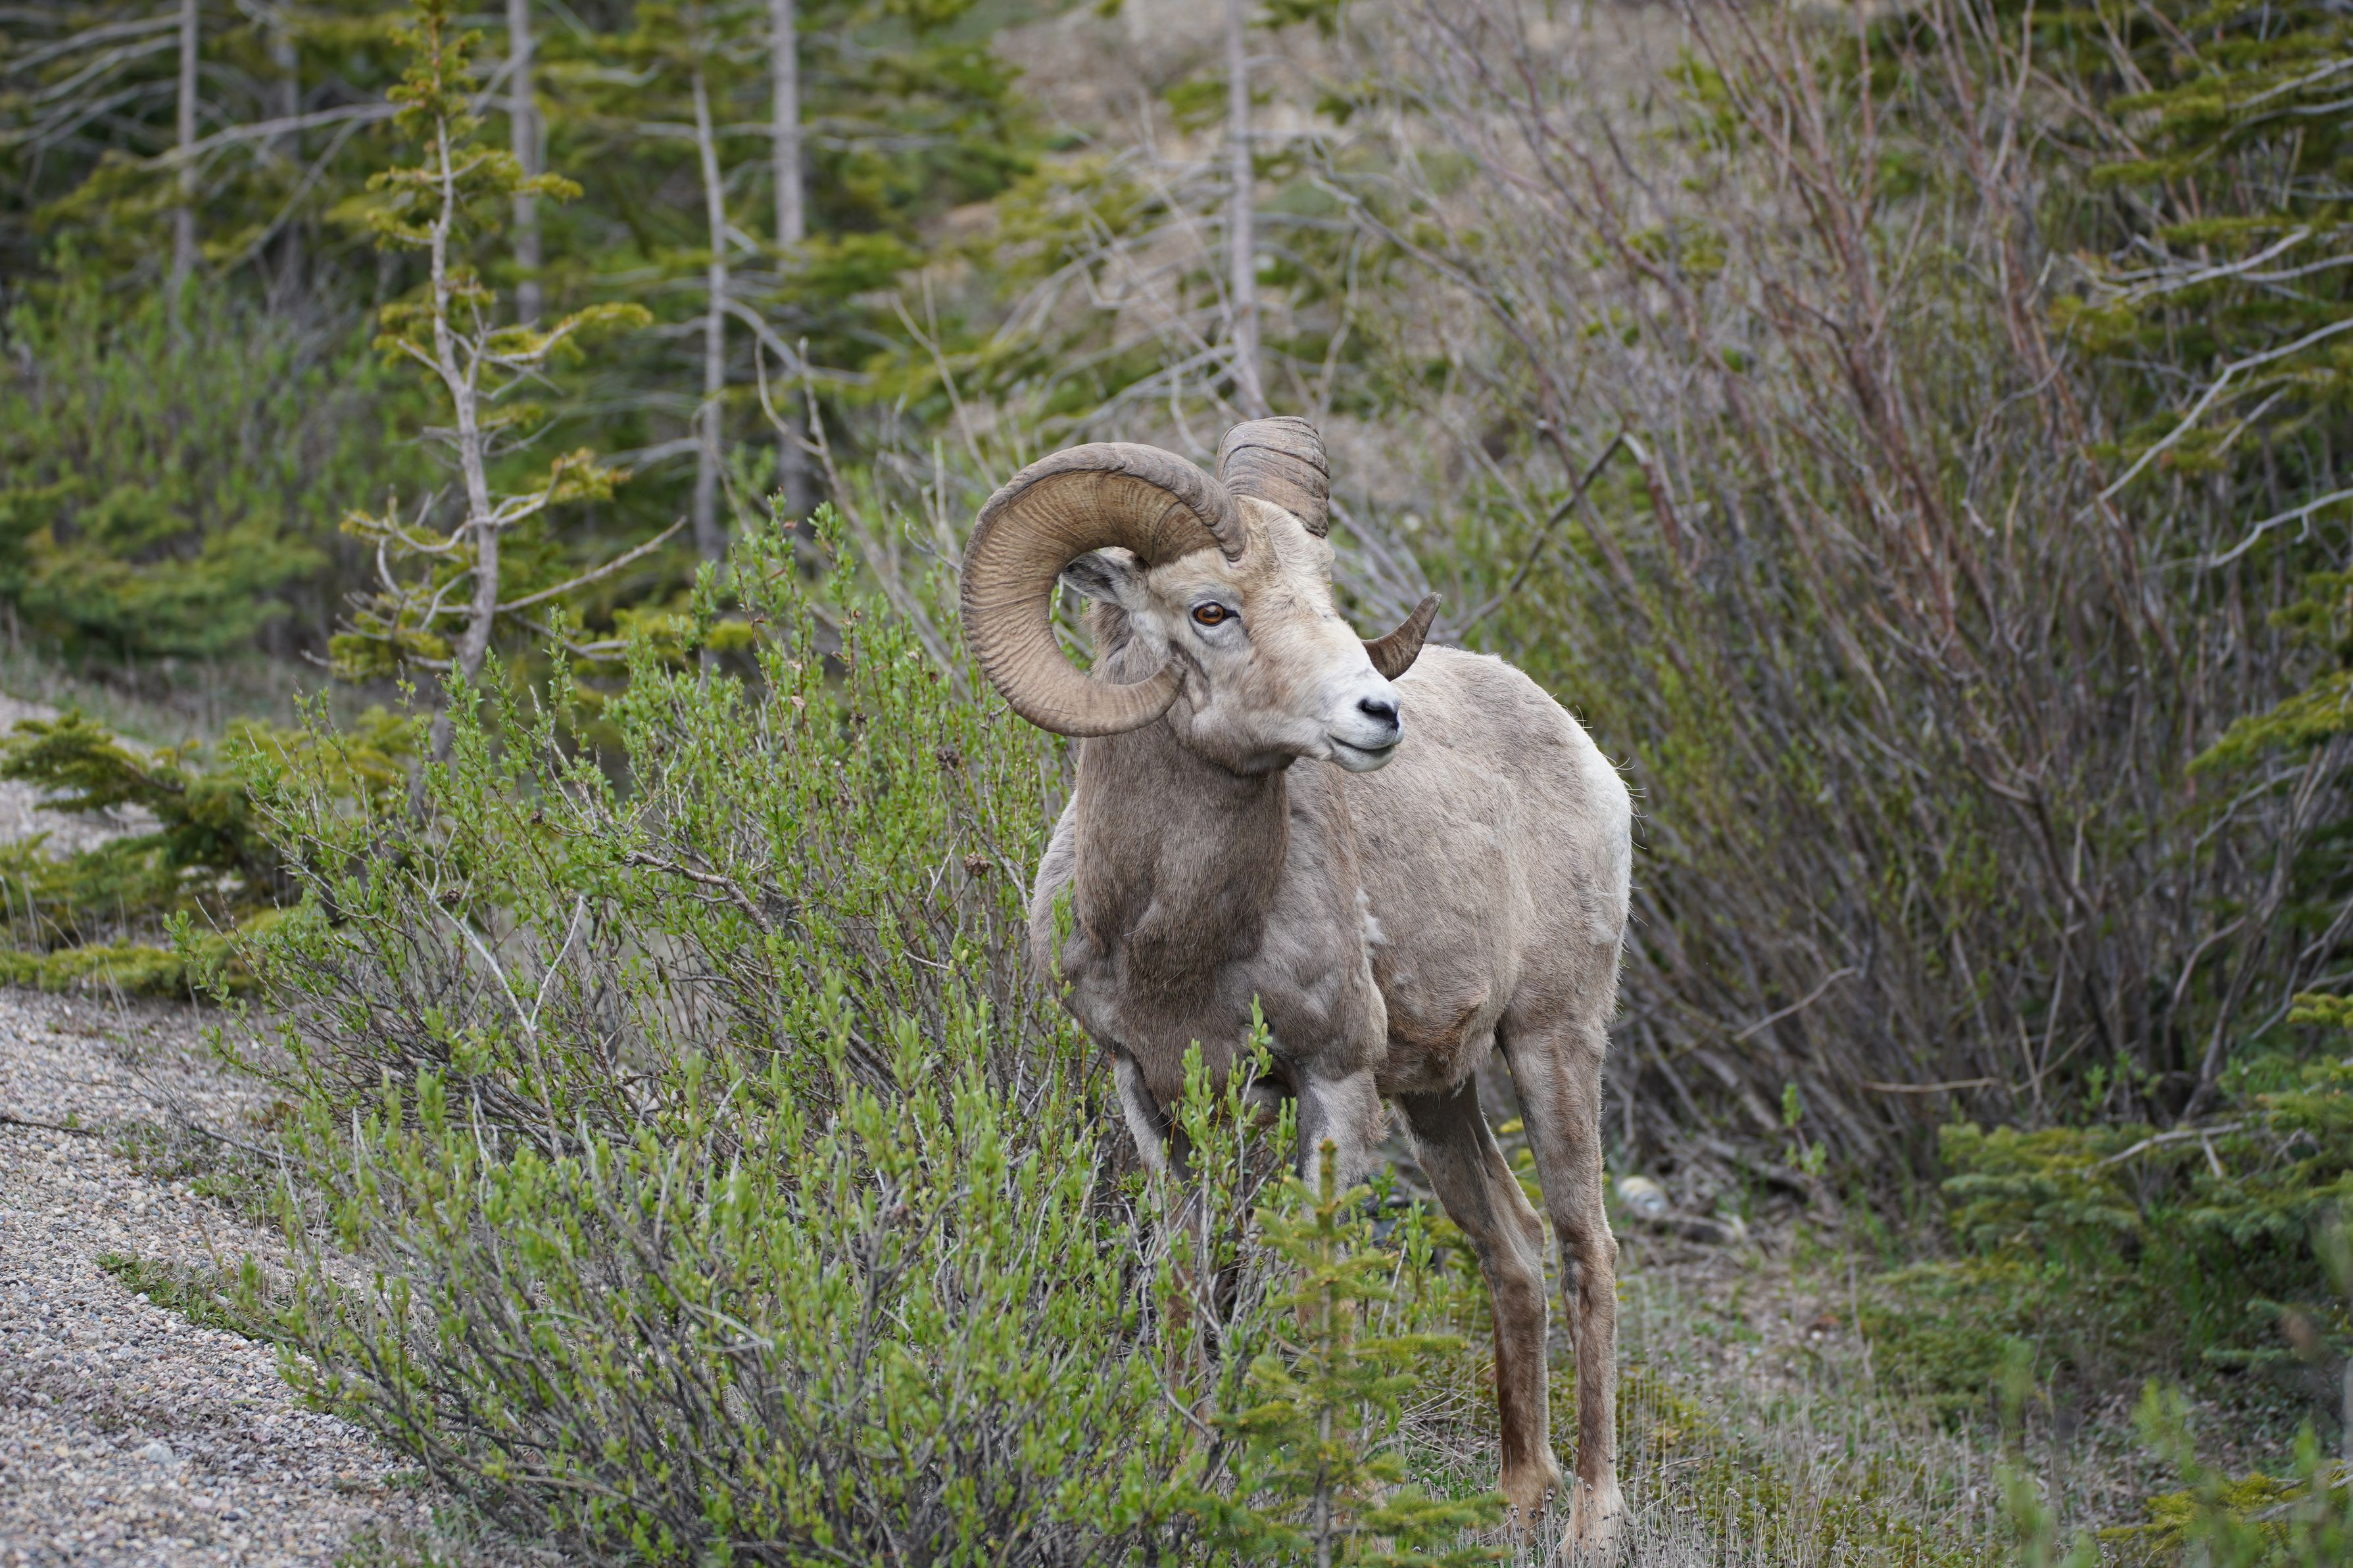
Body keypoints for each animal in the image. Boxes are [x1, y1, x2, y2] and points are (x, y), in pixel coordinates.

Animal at [959, 419, 1633, 1553]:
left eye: (1324, 591)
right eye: (1210, 610)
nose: (1377, 713)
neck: (1176, 942)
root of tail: (1590, 760)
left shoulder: (1332, 1090)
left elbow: (1322, 1300)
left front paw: (1340, 1510)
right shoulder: (1157, 1103)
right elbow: (1188, 1290)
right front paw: (1182, 1477)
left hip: (1552, 1042)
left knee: (1587, 1249)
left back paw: (1590, 1522)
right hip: (1440, 1098)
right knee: (1512, 1245)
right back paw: (1512, 1499)